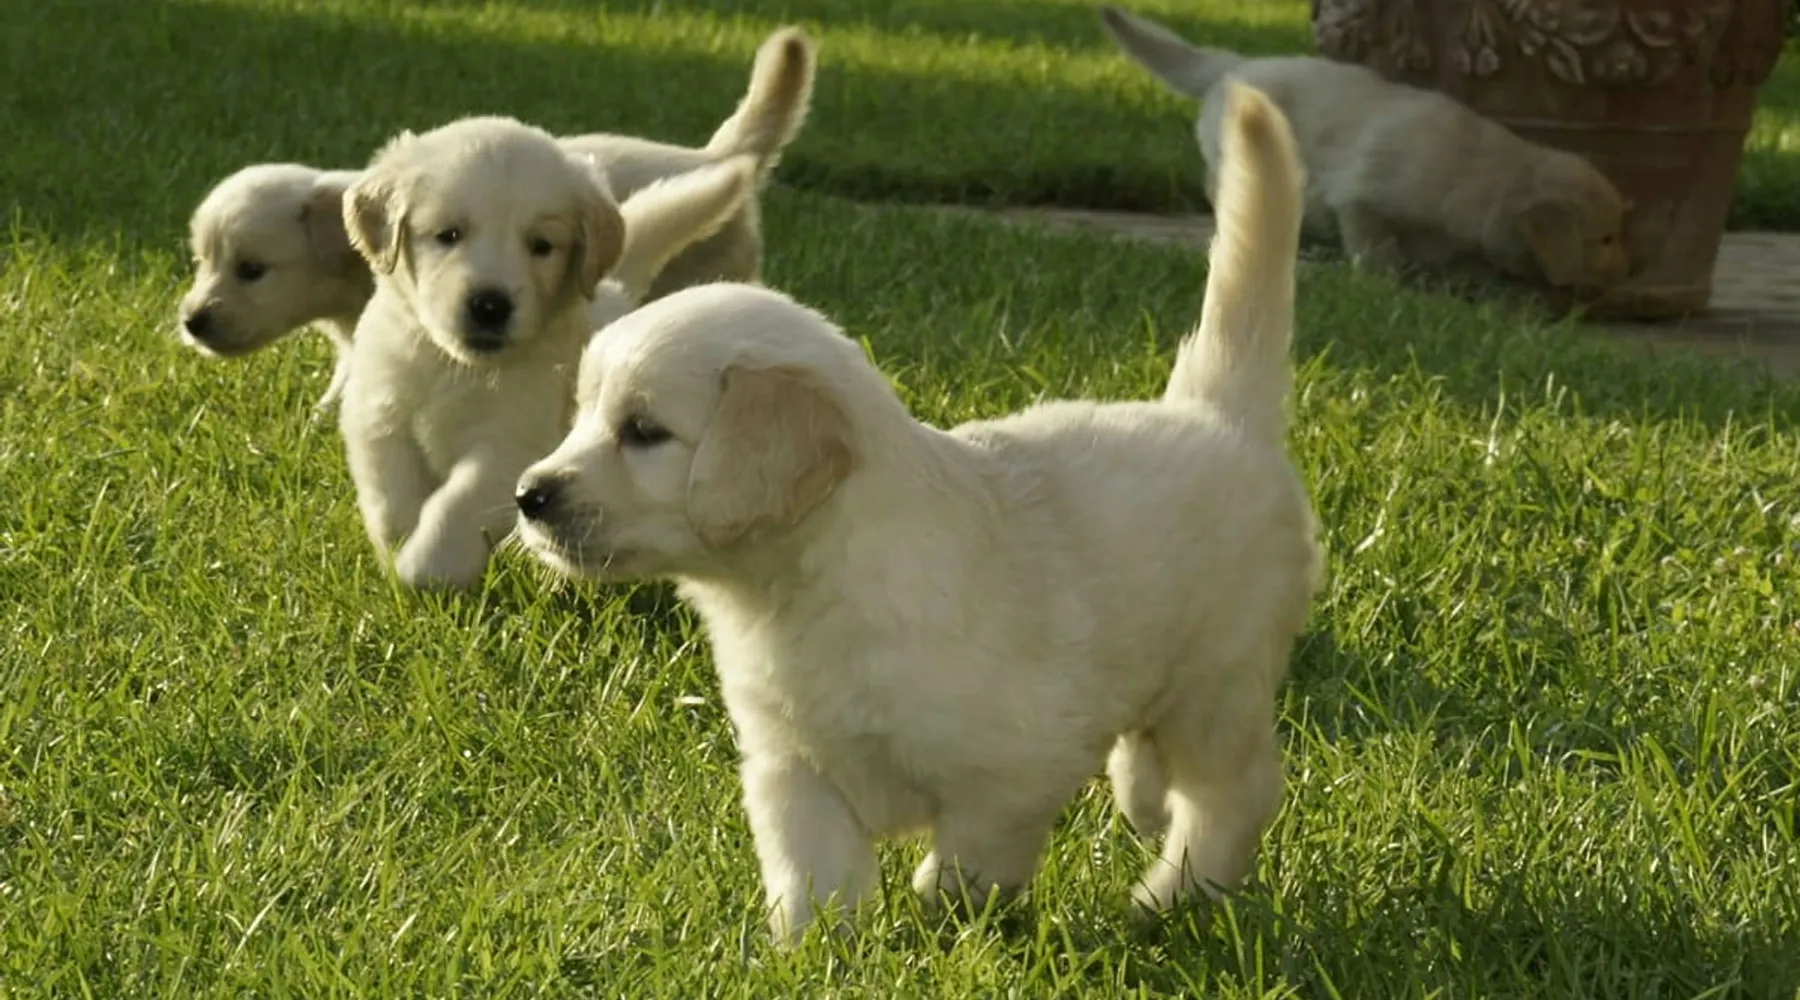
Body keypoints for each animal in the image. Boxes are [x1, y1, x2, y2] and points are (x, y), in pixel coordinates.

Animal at [338, 115, 757, 591]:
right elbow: (393, 491)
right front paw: (399, 549)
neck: (458, 368)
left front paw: (429, 565)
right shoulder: (380, 412)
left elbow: (458, 502)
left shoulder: (509, 444)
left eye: (541, 245)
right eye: (448, 235)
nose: (490, 304)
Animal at [514, 81, 1323, 946]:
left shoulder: (1013, 766)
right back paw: (1146, 807)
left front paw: (947, 913)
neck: (799, 593)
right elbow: (812, 867)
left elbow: (972, 854)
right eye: (582, 415)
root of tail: (1214, 413)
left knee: (1235, 792)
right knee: (1154, 757)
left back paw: (1174, 896)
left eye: (643, 432)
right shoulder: (790, 764)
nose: (530, 495)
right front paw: (811, 949)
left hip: (1220, 678)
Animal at [1101, 4, 1630, 294]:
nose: (1627, 273)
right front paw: (1386, 277)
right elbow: (1375, 243)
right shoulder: (1359, 196)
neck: (1492, 177)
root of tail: (1232, 67)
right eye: (1605, 239)